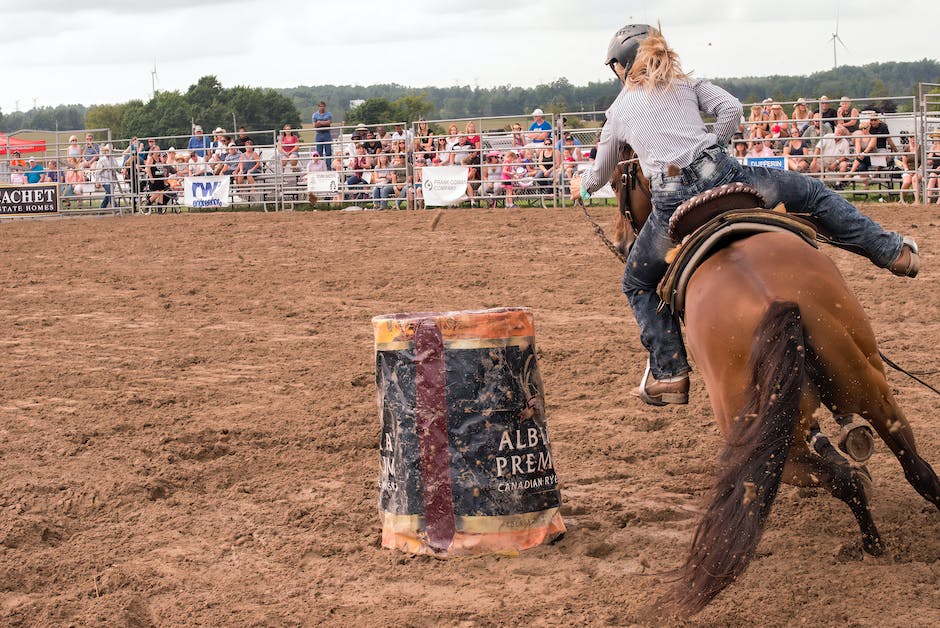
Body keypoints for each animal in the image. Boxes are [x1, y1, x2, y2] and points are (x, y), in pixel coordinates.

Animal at [608, 144, 940, 612]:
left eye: (619, 180)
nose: (623, 243)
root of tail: (775, 302)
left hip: (768, 443)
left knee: (844, 480)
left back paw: (873, 546)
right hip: (870, 388)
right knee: (913, 466)